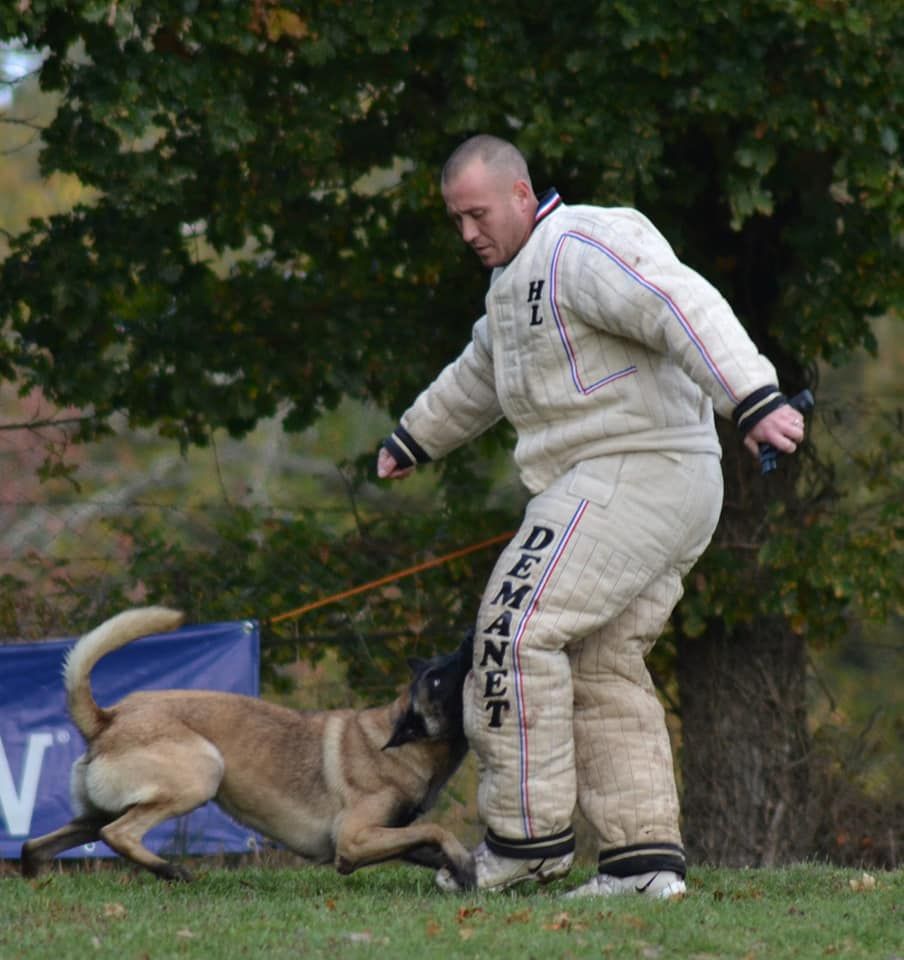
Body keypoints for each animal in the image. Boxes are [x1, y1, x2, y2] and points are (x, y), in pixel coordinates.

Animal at [19, 608, 474, 884]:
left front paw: (464, 871)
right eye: (437, 679)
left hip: (96, 811)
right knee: (118, 834)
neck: (402, 744)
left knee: (35, 845)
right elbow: (436, 830)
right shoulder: (353, 841)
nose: (471, 635)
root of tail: (107, 717)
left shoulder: (385, 833)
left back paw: (36, 879)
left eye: (441, 663)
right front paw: (464, 864)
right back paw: (171, 871)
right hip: (202, 773)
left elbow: (428, 840)